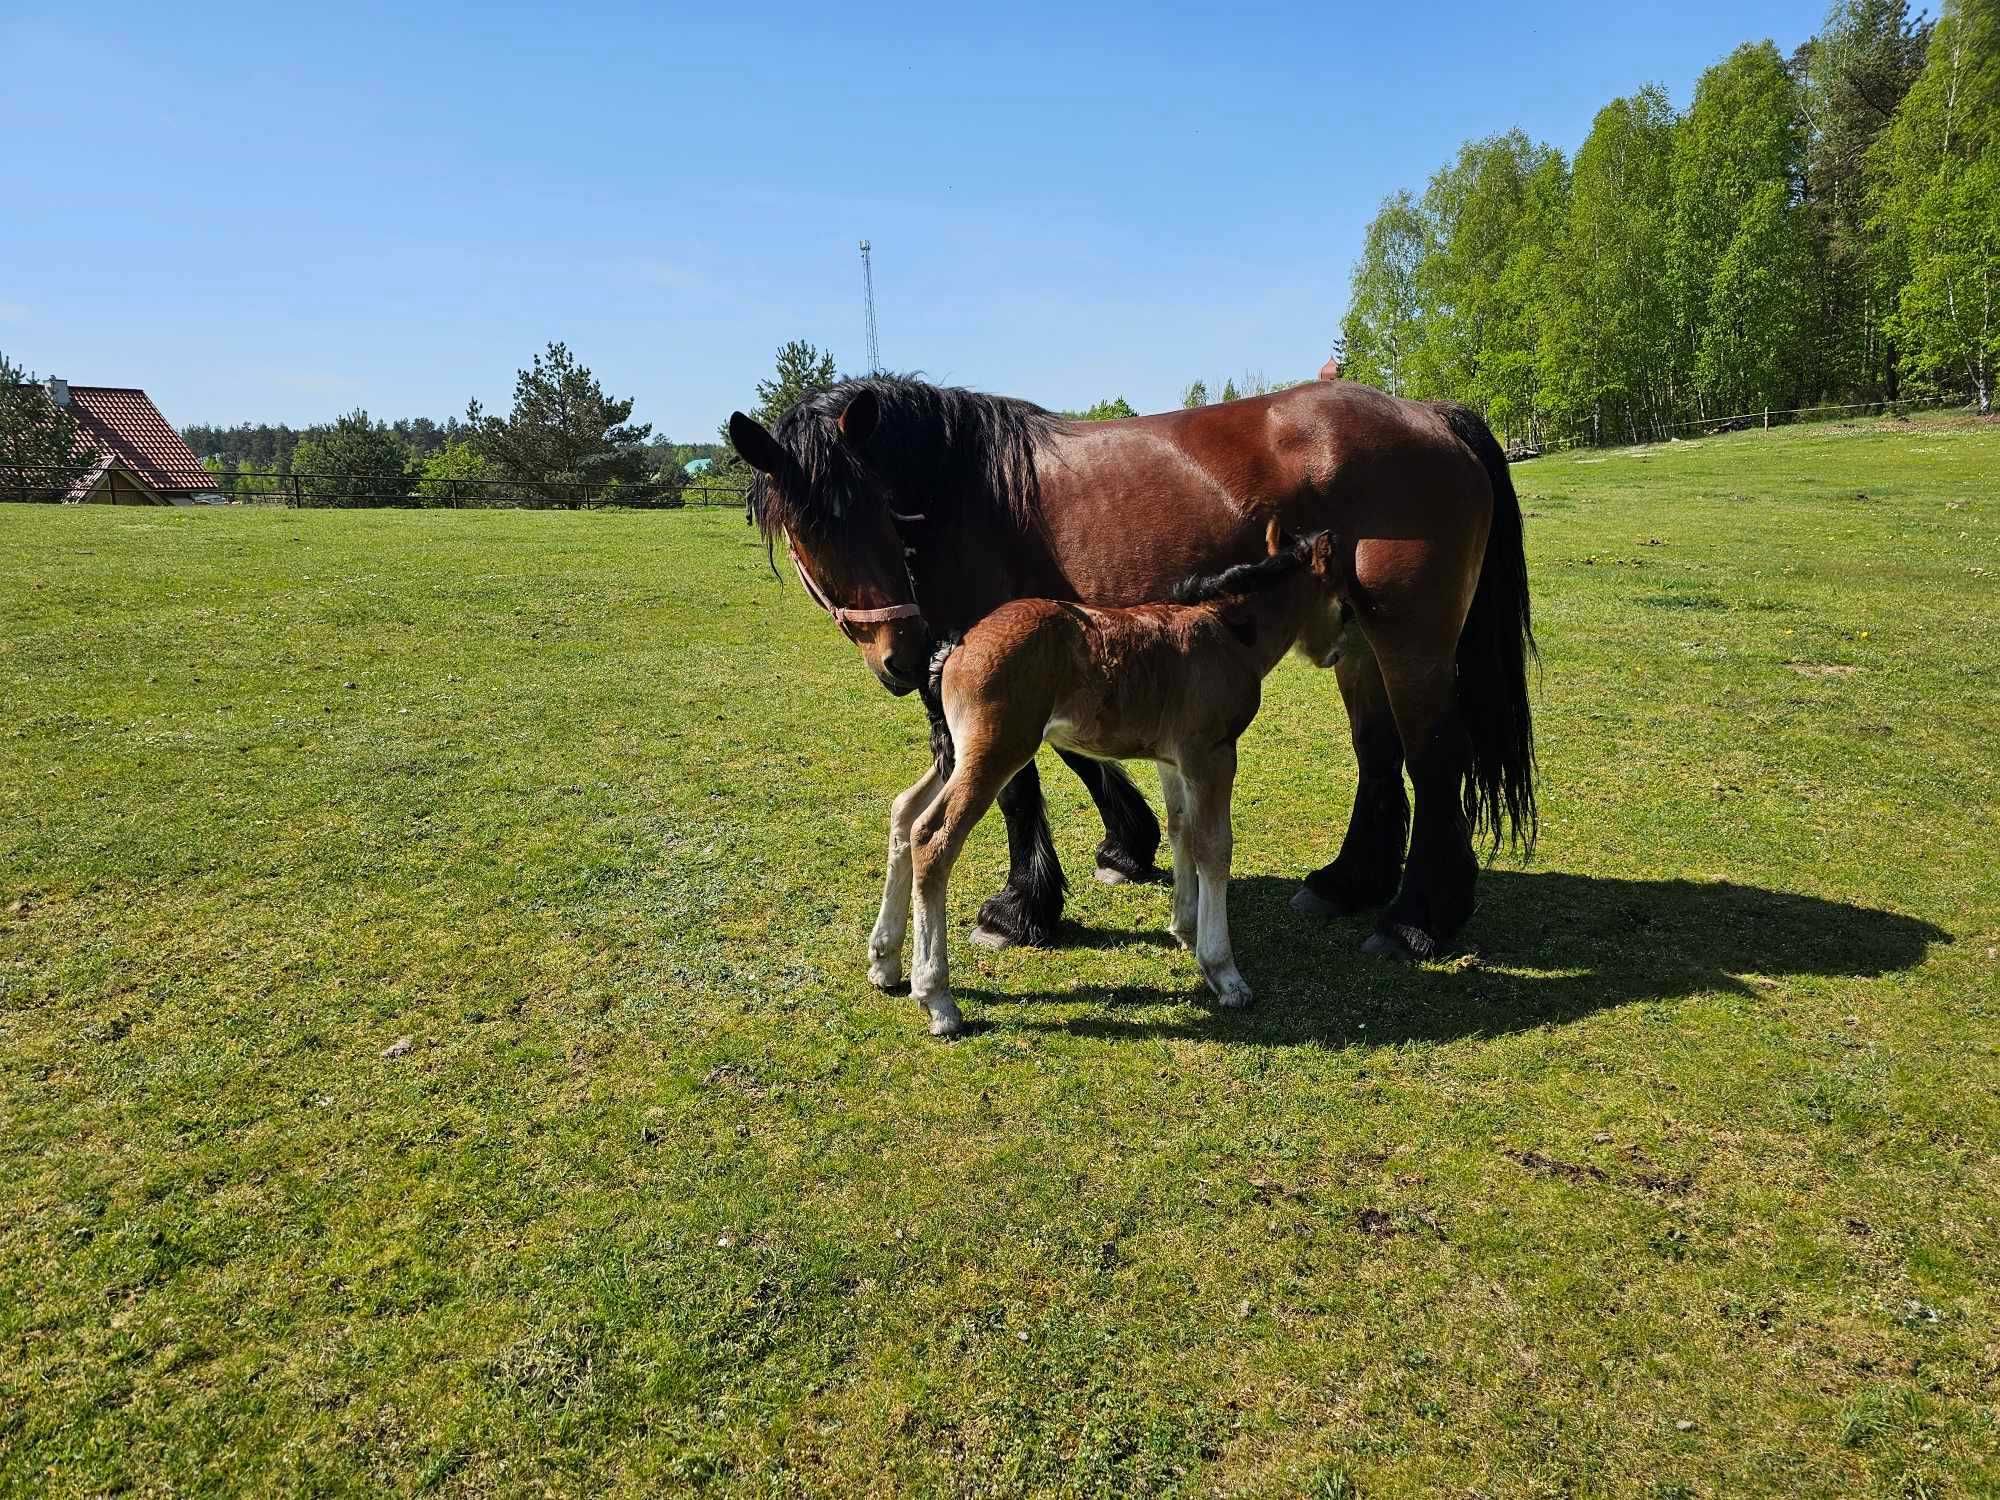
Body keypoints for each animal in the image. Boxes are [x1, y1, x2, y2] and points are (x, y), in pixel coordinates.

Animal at [872, 524, 1344, 1032]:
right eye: (1345, 602)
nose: (1337, 653)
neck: (1227, 636)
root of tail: (956, 645)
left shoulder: (1174, 761)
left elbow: (1181, 830)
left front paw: (1185, 928)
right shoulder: (1212, 755)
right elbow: (1214, 847)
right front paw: (1224, 973)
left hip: (962, 753)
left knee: (904, 812)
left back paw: (884, 961)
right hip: (996, 753)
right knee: (933, 837)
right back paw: (937, 998)